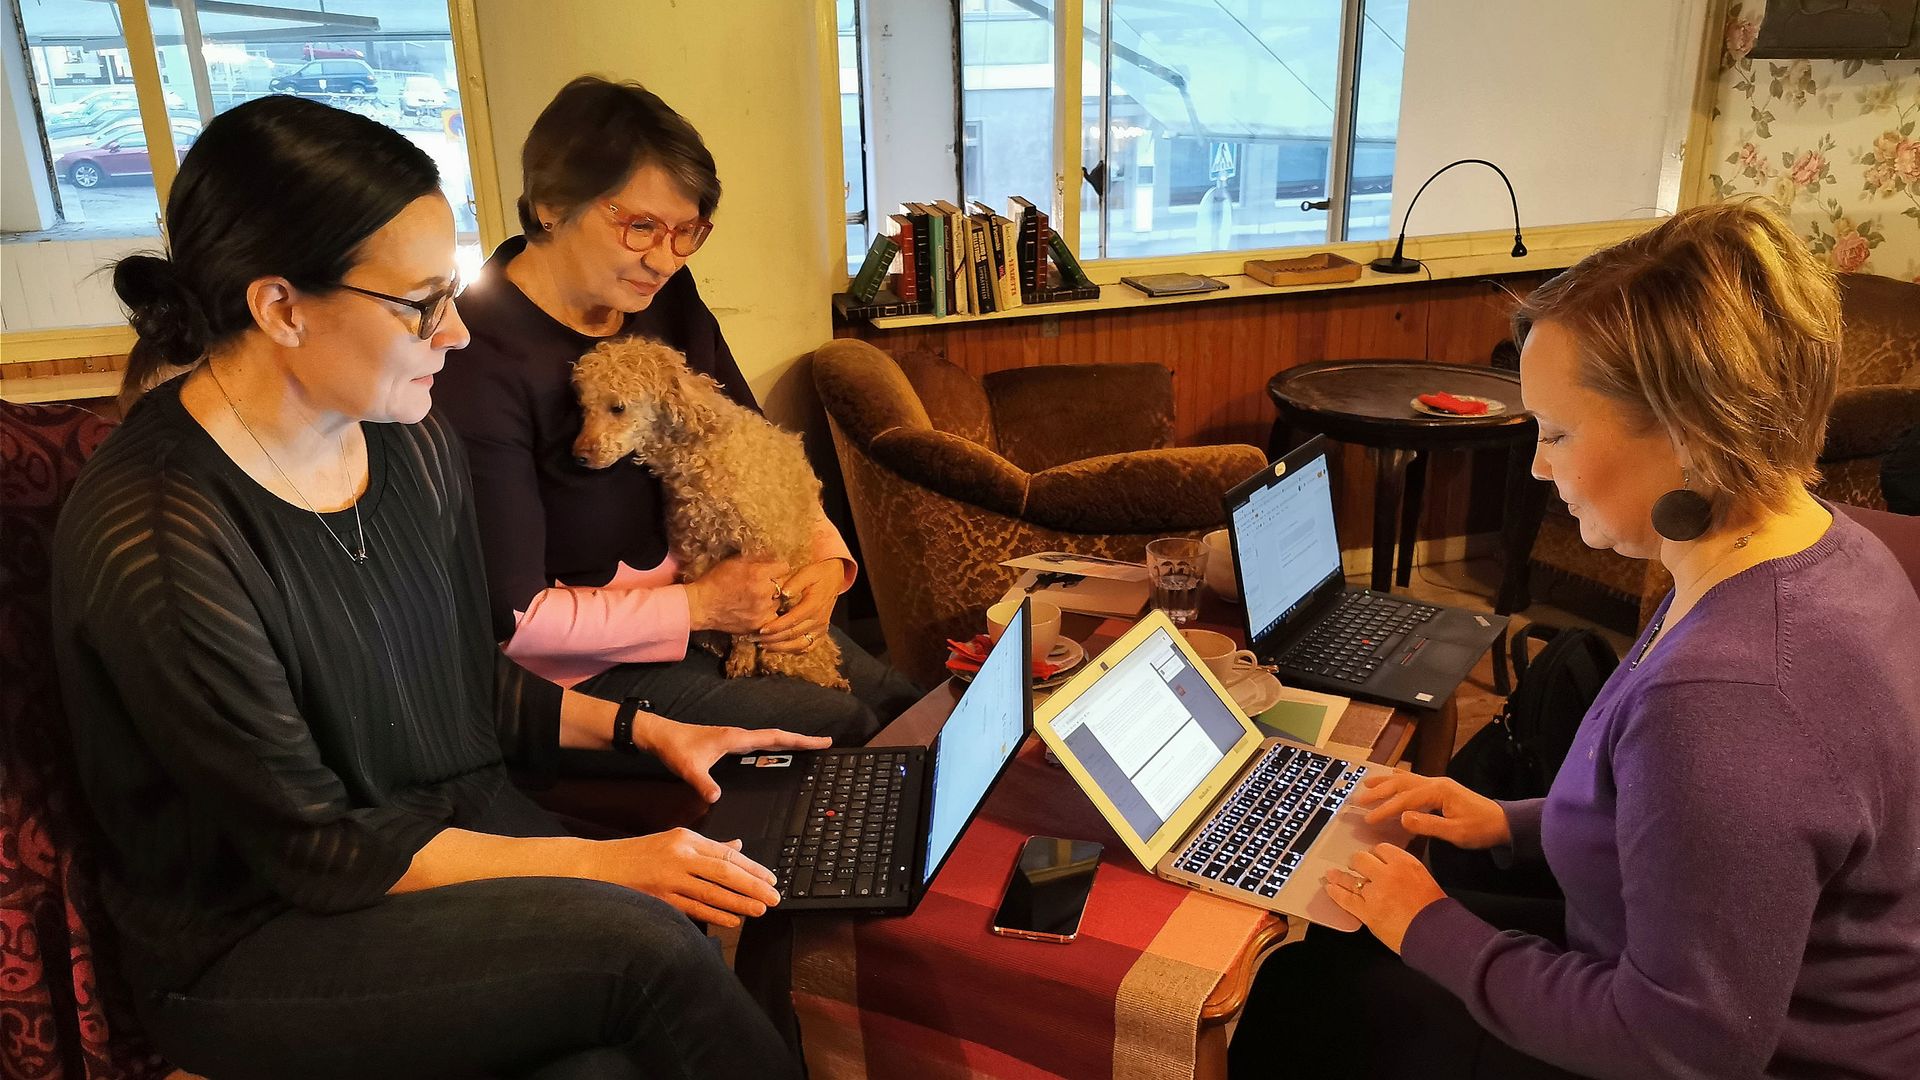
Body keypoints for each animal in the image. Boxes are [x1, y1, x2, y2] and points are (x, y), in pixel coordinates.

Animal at [571, 337, 850, 691]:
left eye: (617, 407)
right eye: (584, 408)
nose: (577, 456)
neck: (698, 453)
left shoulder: (758, 549)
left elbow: (749, 625)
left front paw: (741, 657)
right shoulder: (702, 548)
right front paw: (719, 642)